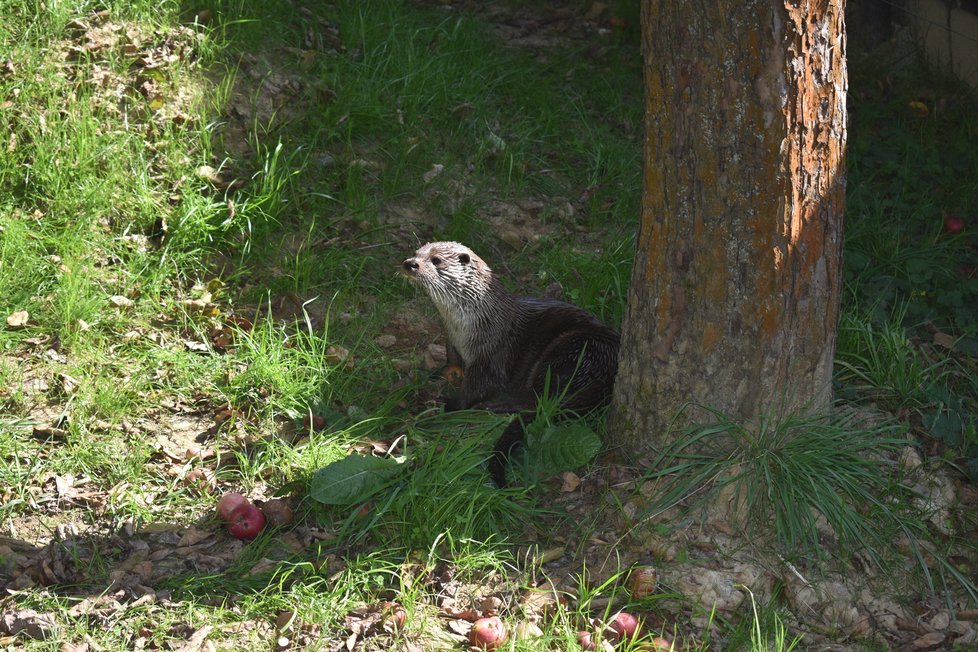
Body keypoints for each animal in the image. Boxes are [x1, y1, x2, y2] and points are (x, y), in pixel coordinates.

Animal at [398, 239, 616, 484]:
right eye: (416, 253)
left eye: (436, 260)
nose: (410, 264)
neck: (475, 320)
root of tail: (608, 373)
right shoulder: (452, 341)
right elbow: (451, 362)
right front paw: (437, 373)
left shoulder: (491, 352)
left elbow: (479, 386)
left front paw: (450, 404)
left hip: (572, 352)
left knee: (538, 401)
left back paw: (493, 406)